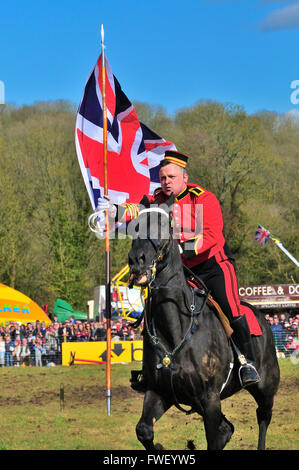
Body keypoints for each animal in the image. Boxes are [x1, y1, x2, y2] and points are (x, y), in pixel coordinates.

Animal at [128, 196, 282, 452]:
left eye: (164, 224)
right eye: (133, 226)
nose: (136, 261)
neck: (176, 328)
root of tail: (262, 317)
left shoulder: (210, 399)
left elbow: (213, 437)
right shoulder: (160, 392)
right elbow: (144, 431)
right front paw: (159, 448)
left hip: (264, 389)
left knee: (263, 417)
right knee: (227, 429)